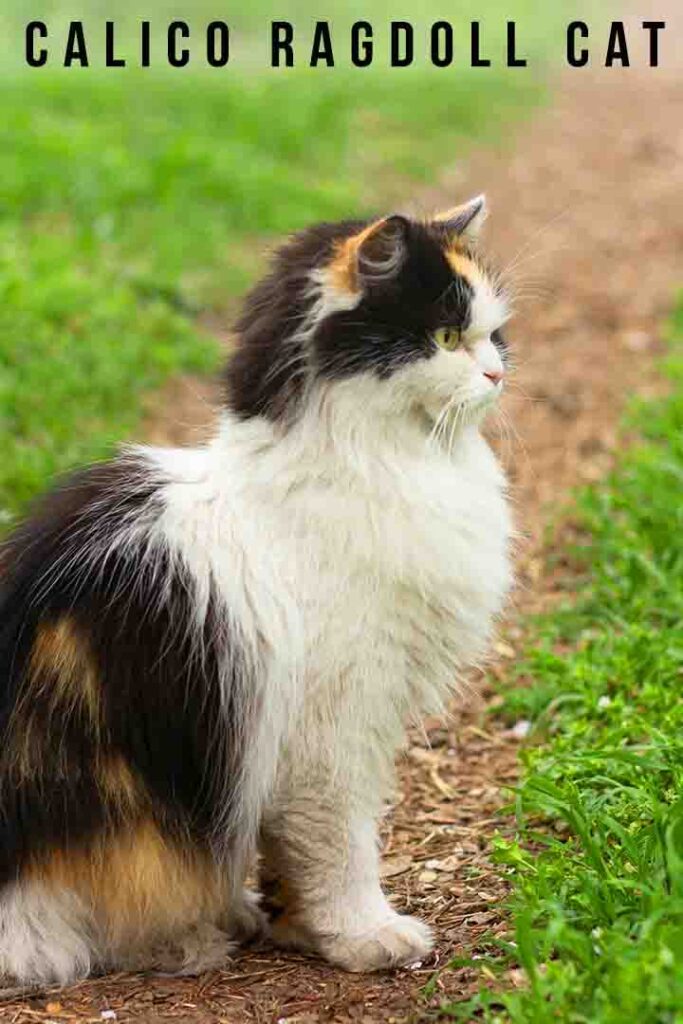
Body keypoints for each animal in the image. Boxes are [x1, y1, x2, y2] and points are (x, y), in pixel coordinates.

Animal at [0, 193, 511, 983]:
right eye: (450, 336)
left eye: (494, 336)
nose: (496, 374)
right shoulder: (331, 727)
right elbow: (339, 848)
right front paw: (364, 936)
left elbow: (288, 855)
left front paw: (294, 926)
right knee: (66, 927)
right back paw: (186, 940)